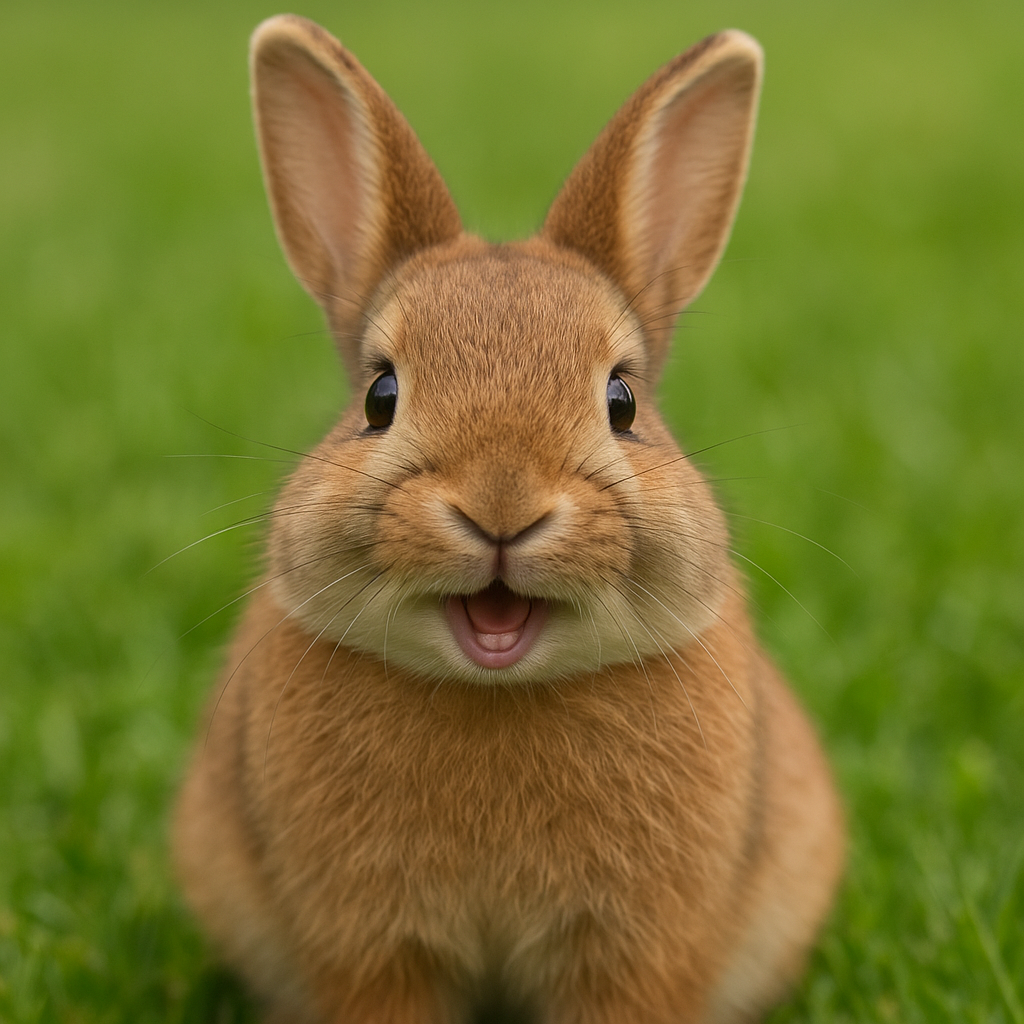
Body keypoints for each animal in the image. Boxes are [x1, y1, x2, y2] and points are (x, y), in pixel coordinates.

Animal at [173, 14, 844, 1024]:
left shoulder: (627, 954)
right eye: (380, 396)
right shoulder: (376, 950)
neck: (496, 691)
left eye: (621, 402)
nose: (502, 503)